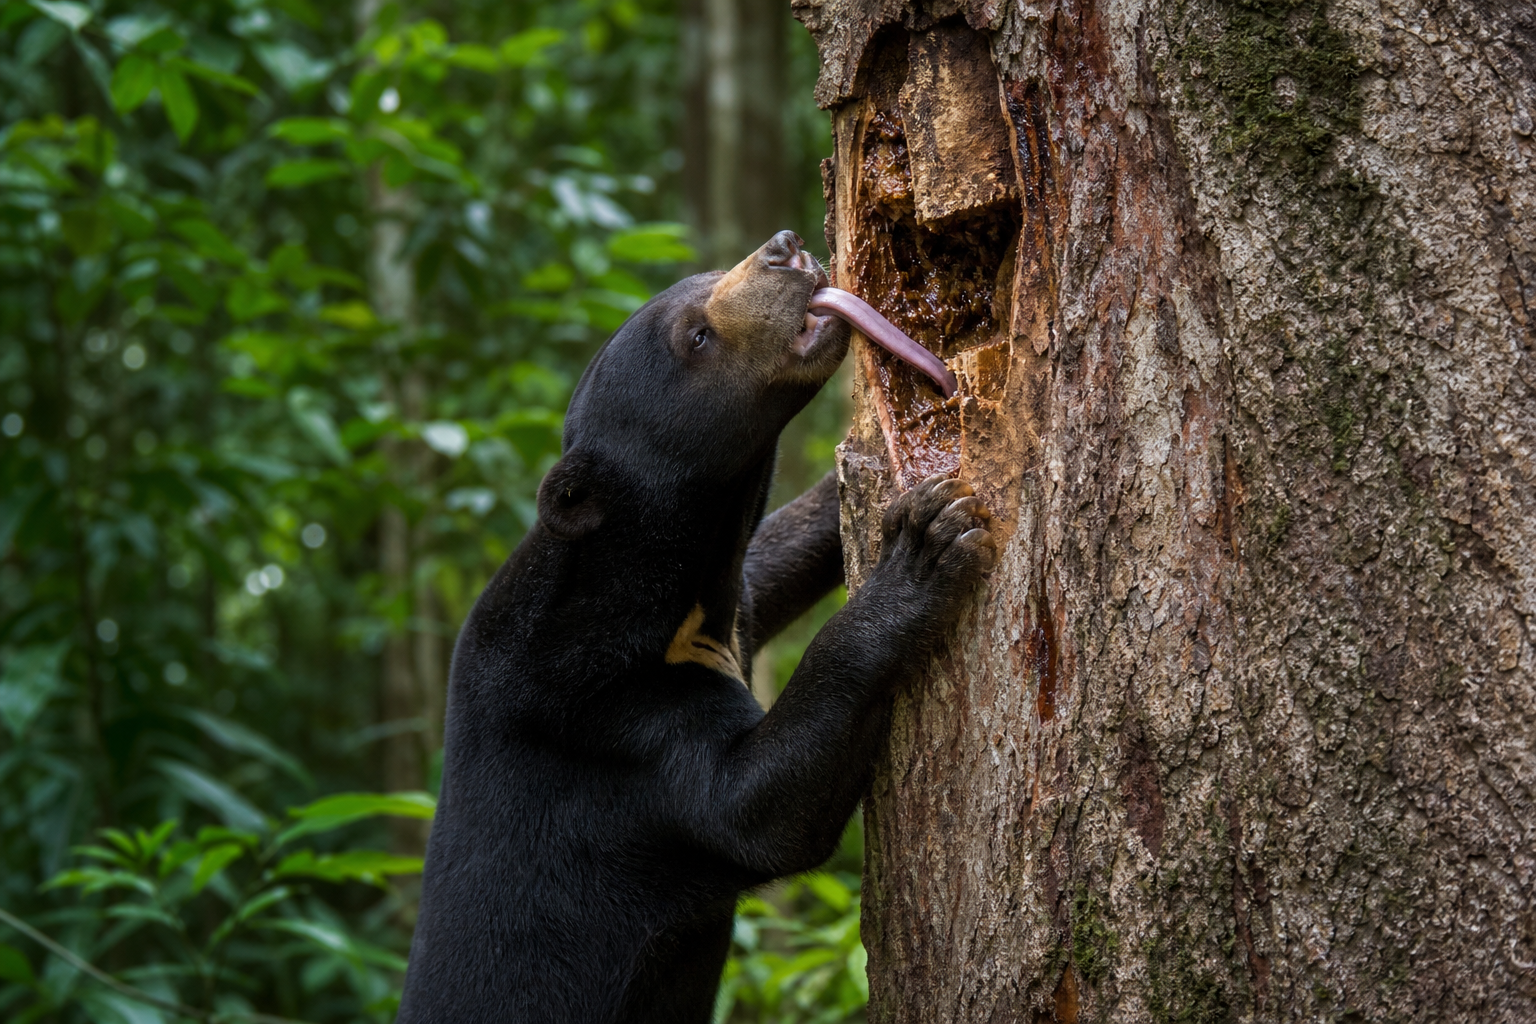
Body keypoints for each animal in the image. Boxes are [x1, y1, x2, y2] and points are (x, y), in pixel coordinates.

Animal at [395, 230, 995, 1023]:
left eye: (706, 280)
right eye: (698, 337)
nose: (784, 248)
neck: (672, 596)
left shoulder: (734, 600)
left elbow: (778, 552)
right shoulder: (599, 718)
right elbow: (756, 806)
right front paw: (926, 546)